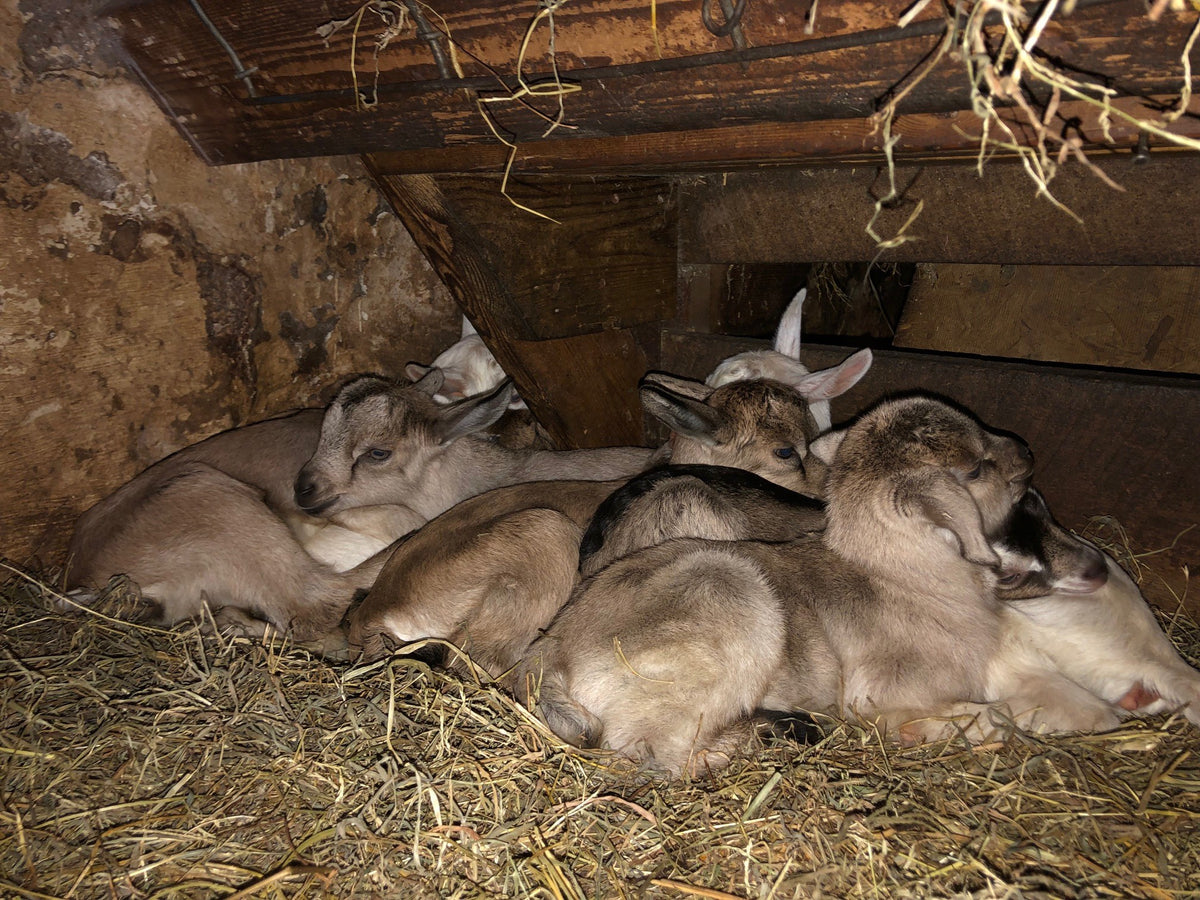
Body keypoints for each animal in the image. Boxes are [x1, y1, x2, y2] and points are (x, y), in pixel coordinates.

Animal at [515, 394, 1034, 774]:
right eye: (975, 468)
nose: (1027, 453)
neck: (903, 581)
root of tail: (545, 657)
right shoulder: (885, 695)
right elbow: (997, 714)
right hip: (728, 588)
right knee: (656, 755)